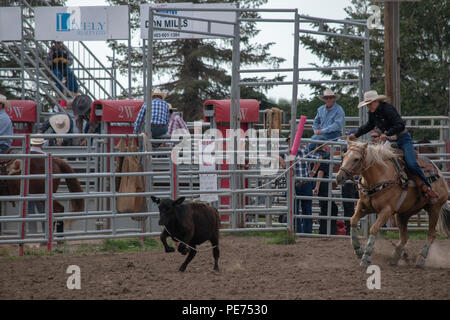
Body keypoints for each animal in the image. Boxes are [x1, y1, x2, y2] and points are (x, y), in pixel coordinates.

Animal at [336, 140, 448, 268]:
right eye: (344, 156)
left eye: (356, 159)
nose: (339, 177)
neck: (379, 176)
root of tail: (440, 174)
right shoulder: (363, 205)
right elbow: (353, 220)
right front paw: (358, 250)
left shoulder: (387, 210)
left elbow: (374, 229)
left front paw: (366, 257)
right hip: (403, 213)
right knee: (404, 237)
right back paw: (395, 257)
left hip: (434, 208)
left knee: (431, 234)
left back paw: (420, 259)